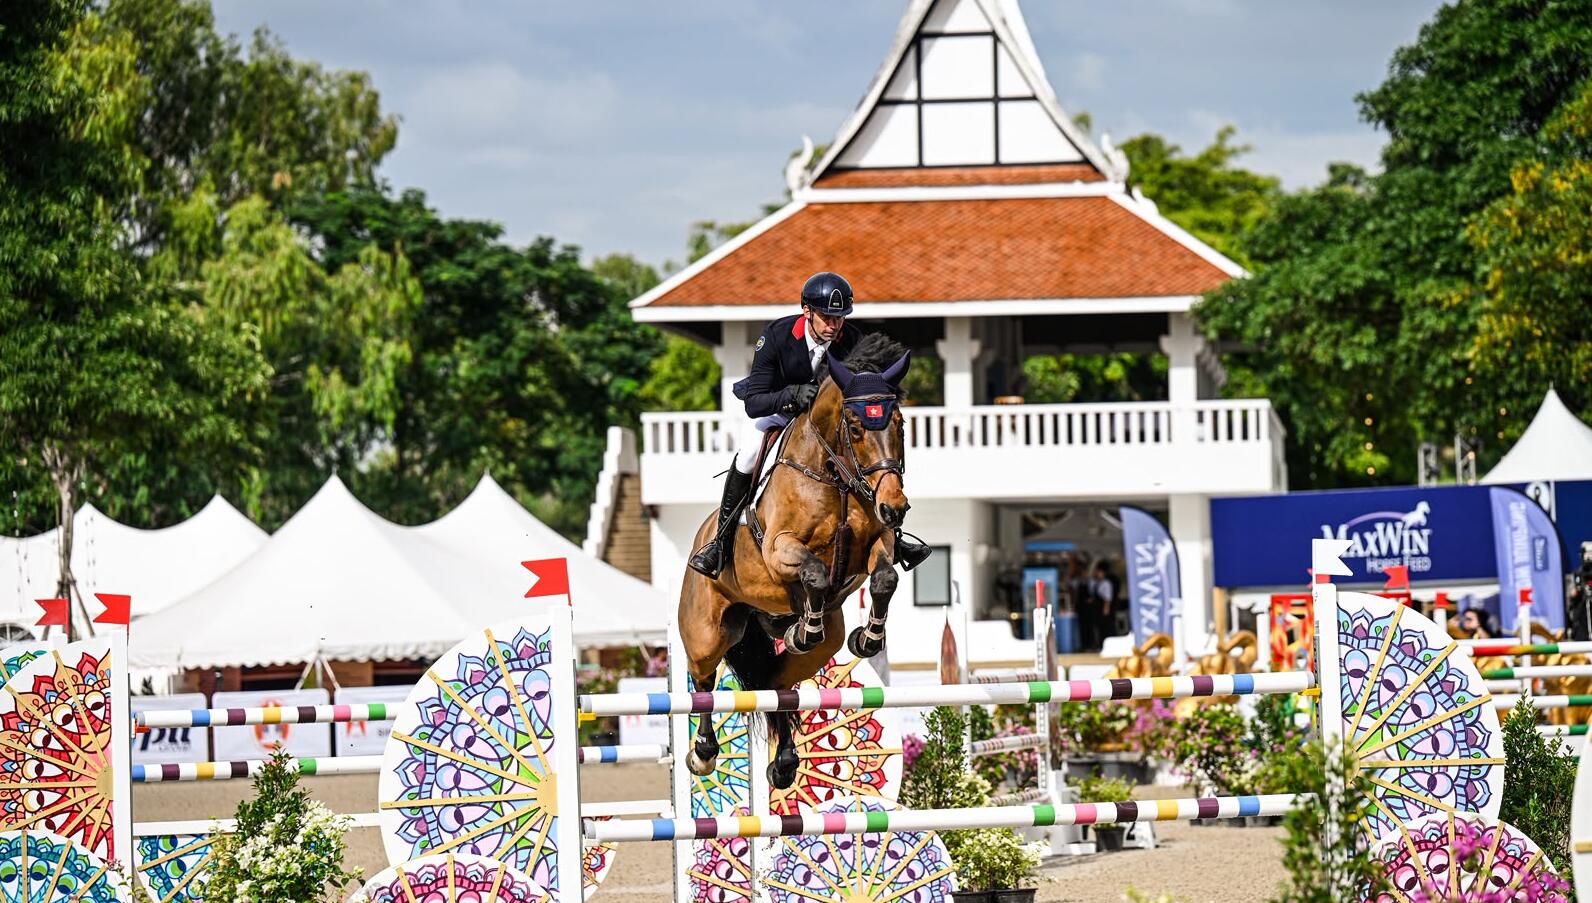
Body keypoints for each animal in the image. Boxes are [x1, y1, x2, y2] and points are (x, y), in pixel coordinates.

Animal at [677, 334, 913, 790]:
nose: (894, 507)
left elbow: (885, 580)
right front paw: (808, 626)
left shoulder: (878, 545)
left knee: (778, 681)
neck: (834, 476)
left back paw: (785, 762)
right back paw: (703, 753)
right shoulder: (779, 549)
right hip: (706, 633)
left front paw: (867, 640)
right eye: (855, 427)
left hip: (821, 645)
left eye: (899, 424)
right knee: (704, 680)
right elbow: (816, 574)